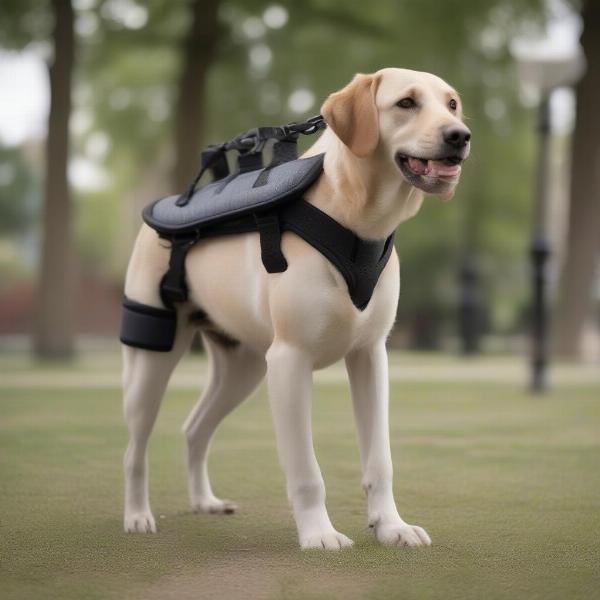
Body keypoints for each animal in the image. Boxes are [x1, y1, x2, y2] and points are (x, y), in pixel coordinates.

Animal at [122, 69, 468, 548]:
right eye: (406, 103)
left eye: (452, 104)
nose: (461, 136)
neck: (356, 216)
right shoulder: (290, 360)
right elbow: (306, 470)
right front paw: (319, 534)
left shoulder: (370, 356)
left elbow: (380, 459)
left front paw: (391, 526)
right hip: (152, 362)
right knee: (134, 448)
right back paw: (137, 515)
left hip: (244, 368)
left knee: (194, 429)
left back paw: (204, 501)